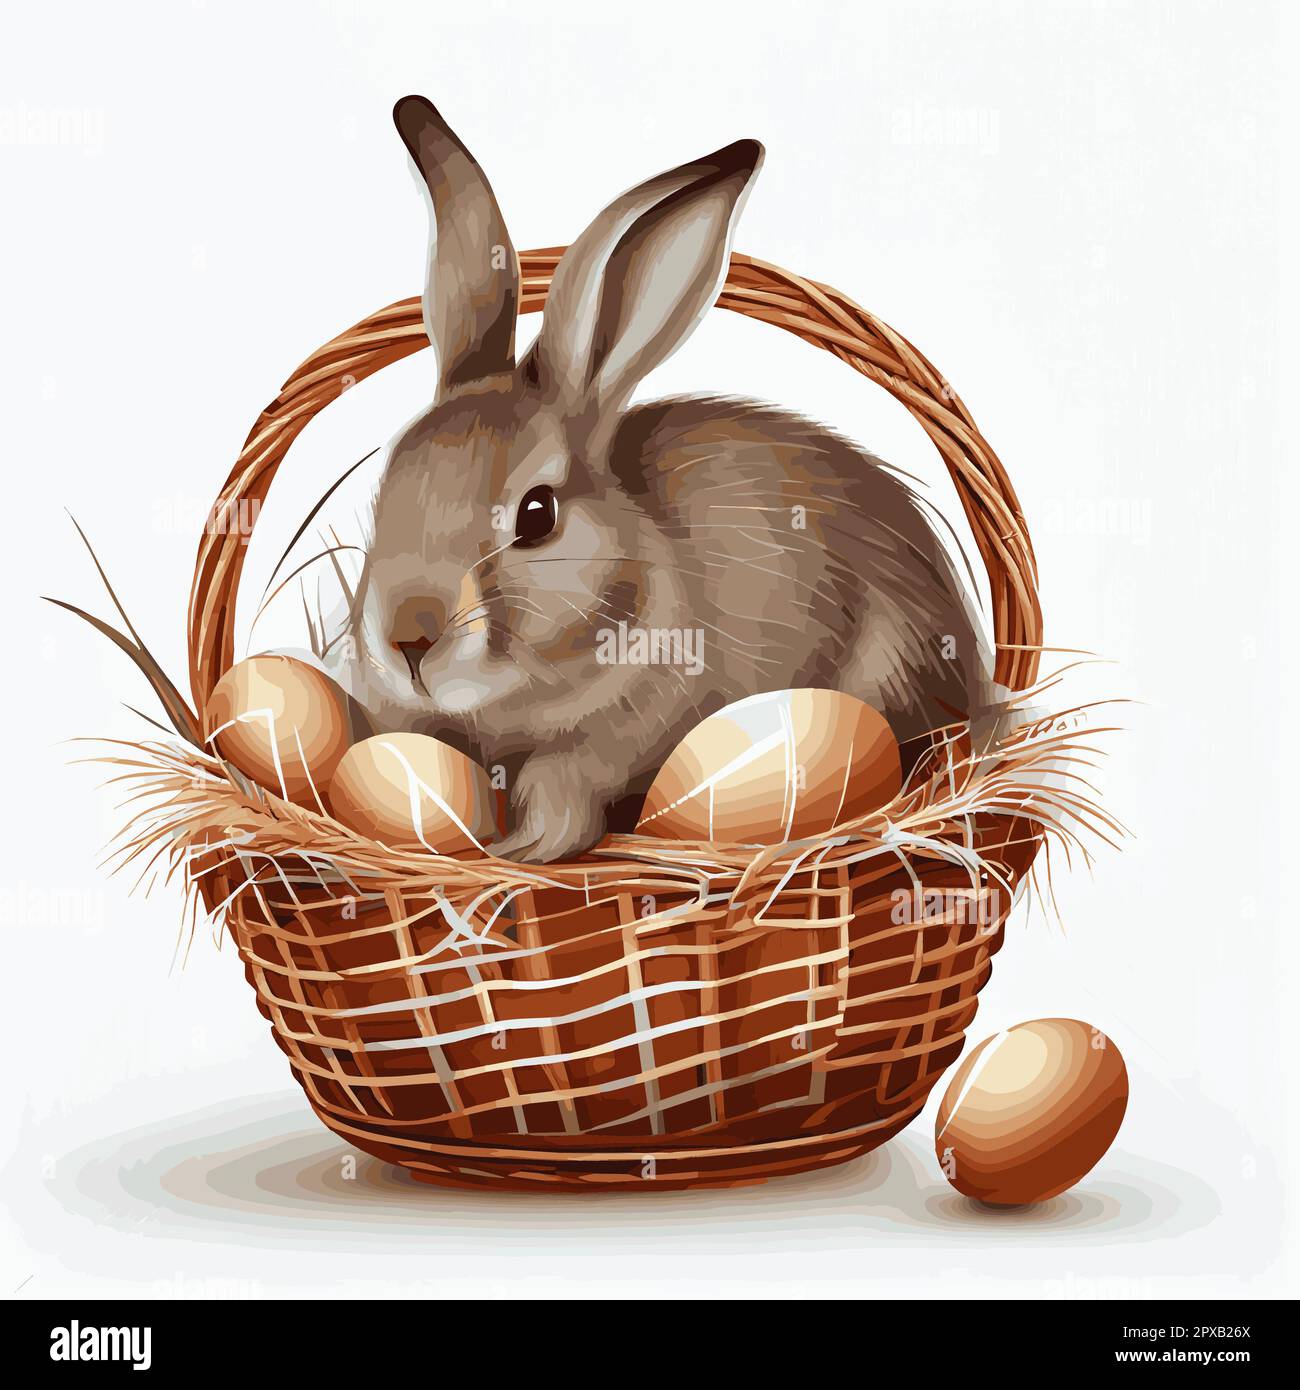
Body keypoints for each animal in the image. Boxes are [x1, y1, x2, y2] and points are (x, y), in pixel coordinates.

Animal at [338, 95, 994, 864]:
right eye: (387, 485)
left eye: (536, 515)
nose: (408, 637)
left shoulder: (618, 738)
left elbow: (563, 786)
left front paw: (521, 852)